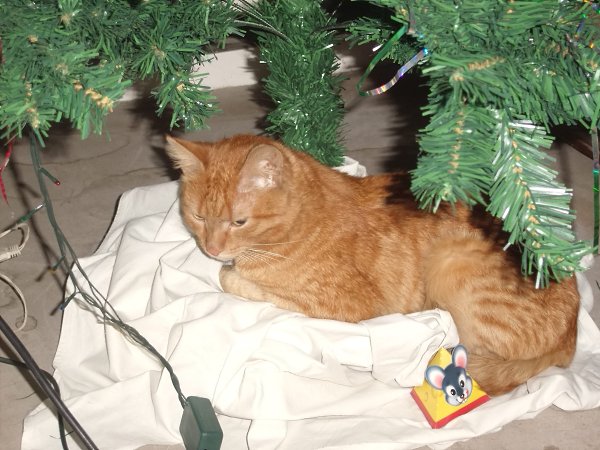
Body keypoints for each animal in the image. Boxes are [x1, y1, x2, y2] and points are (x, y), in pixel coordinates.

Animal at [166, 134, 580, 396]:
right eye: (199, 216)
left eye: (238, 221)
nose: (212, 247)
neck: (302, 220)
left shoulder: (346, 307)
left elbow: (234, 280)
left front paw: (232, 271)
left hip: (451, 262)